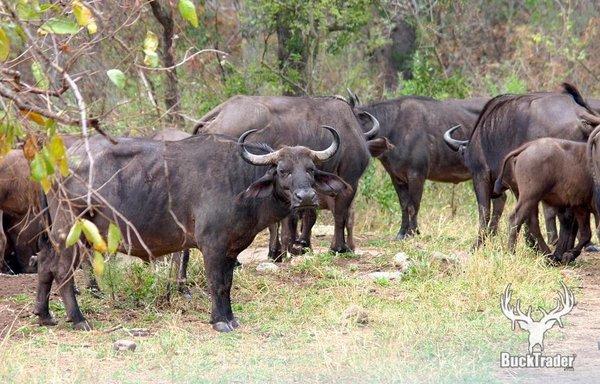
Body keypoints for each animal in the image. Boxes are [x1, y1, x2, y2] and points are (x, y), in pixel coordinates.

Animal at [35, 127, 350, 332]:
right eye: (283, 170)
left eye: (310, 170)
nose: (305, 197)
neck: (239, 180)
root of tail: (57, 161)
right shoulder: (212, 246)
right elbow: (216, 283)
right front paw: (220, 321)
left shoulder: (231, 249)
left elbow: (227, 283)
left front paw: (229, 317)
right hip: (71, 230)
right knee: (62, 270)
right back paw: (78, 319)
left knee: (46, 264)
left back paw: (44, 315)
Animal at [193, 96, 390, 258]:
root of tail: (218, 114)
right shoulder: (349, 180)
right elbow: (341, 213)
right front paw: (338, 248)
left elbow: (305, 216)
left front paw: (291, 248)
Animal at [346, 94, 492, 237]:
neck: (393, 127)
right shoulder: (396, 178)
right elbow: (404, 205)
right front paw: (402, 233)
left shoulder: (416, 175)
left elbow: (413, 205)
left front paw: (413, 232)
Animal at [446, 83, 600, 255]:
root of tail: (580, 114)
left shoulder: (482, 175)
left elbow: (485, 212)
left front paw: (477, 246)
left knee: (566, 216)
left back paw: (560, 252)